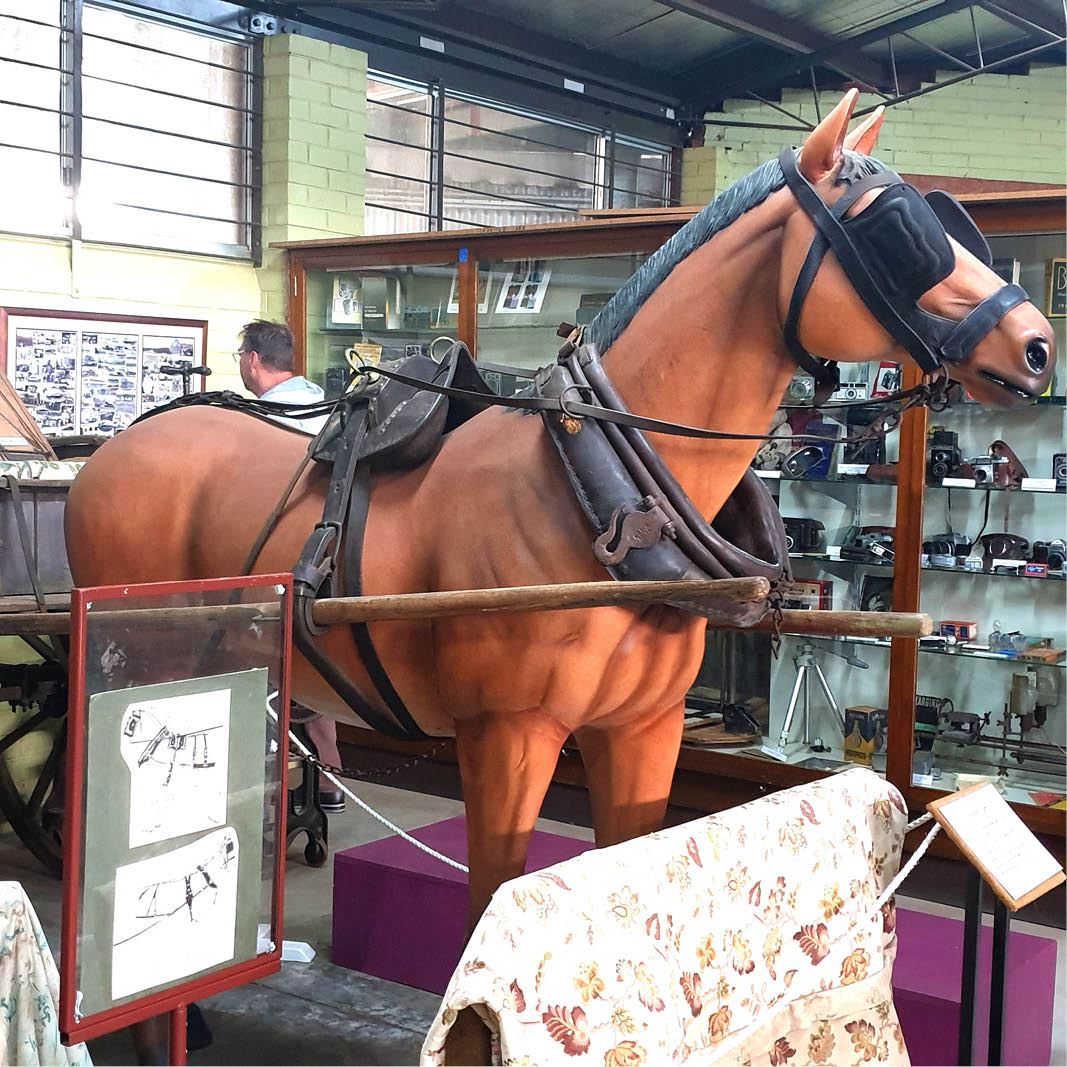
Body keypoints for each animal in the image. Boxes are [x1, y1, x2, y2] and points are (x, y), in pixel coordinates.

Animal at [65, 91, 1054, 935]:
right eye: (899, 228)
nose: (1036, 345)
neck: (597, 494)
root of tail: (109, 451)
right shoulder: (507, 736)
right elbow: (486, 906)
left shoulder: (643, 731)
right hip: (141, 667)